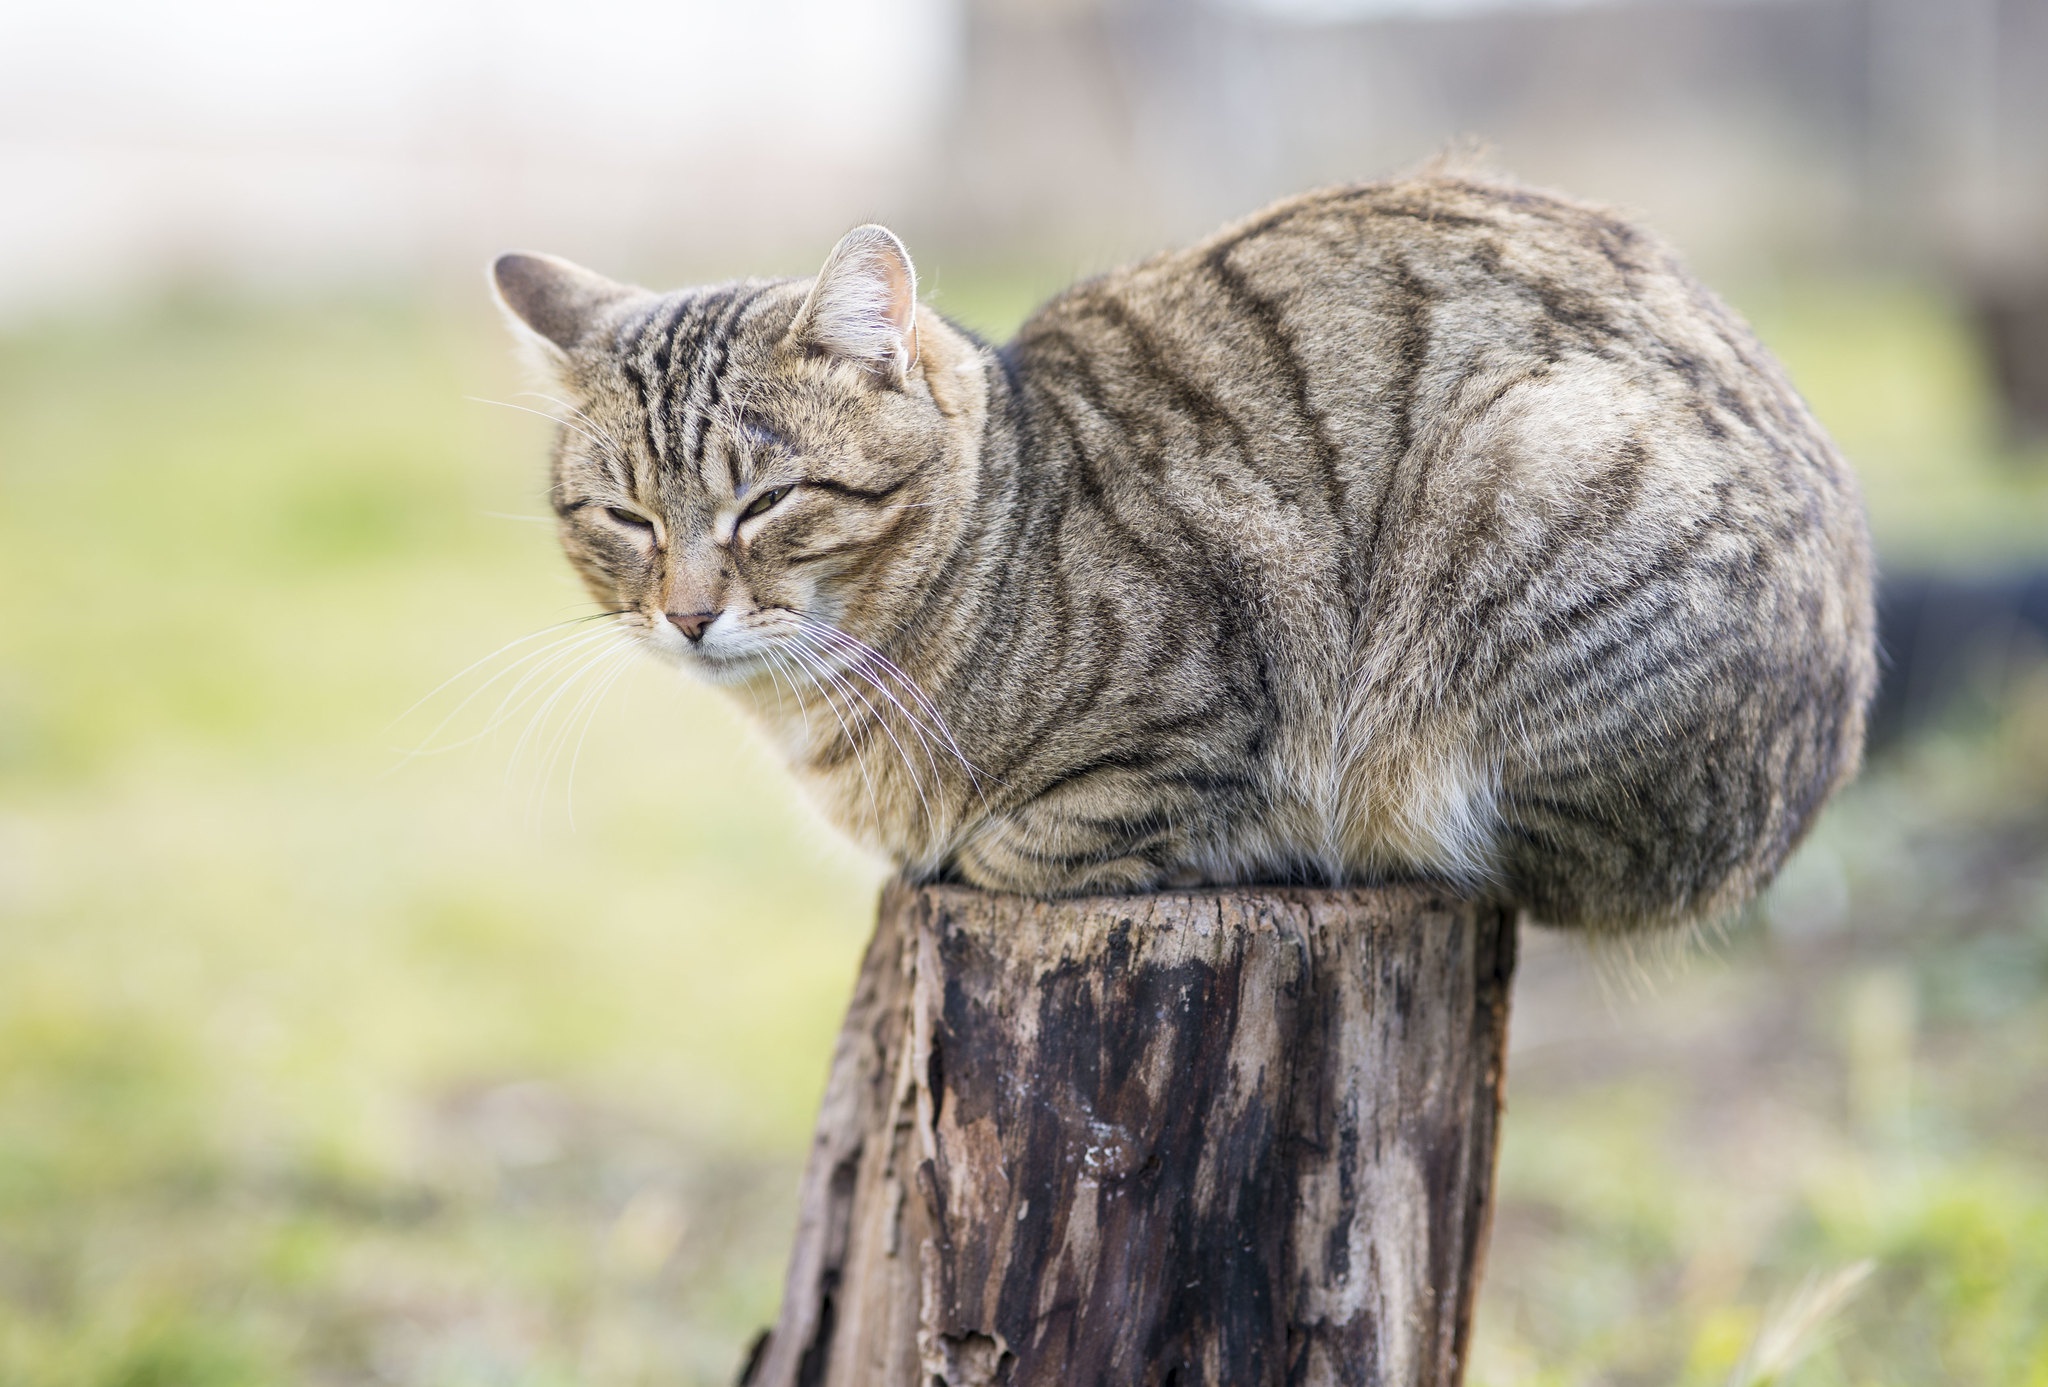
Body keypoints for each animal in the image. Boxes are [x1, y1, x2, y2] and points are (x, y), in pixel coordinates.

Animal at [491, 173, 1875, 930]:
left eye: (766, 502)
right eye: (625, 518)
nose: (686, 611)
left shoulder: (1203, 720)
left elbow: (1021, 841)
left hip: (1526, 476)